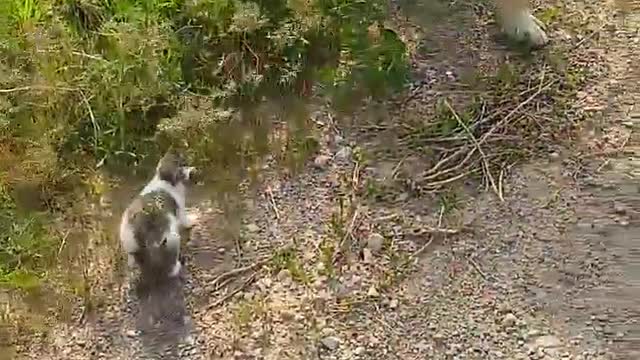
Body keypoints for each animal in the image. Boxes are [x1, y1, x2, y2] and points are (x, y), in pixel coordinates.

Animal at [119, 149, 195, 278]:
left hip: (129, 240)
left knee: (133, 257)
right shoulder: (180, 208)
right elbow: (184, 219)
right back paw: (176, 267)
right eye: (183, 165)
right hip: (172, 238)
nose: (192, 172)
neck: (163, 180)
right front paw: (191, 222)